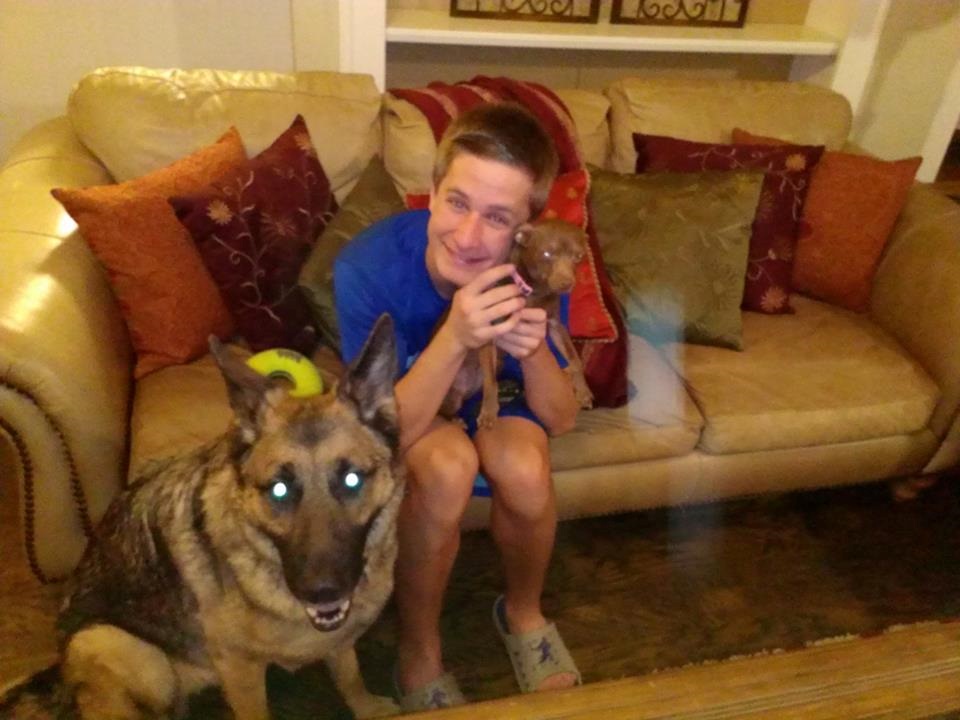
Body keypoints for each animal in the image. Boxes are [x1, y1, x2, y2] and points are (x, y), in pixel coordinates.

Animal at [0, 314, 403, 720]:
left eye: (352, 480)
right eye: (279, 490)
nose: (322, 591)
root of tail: (60, 672)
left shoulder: (339, 639)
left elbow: (349, 675)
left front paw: (369, 708)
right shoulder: (239, 669)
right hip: (118, 647)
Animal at [440, 218, 594, 430]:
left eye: (578, 257)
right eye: (547, 254)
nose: (566, 284)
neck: (535, 292)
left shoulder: (555, 325)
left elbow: (575, 359)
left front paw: (583, 391)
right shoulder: (488, 333)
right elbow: (490, 382)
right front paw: (489, 412)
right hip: (453, 396)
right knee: (443, 411)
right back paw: (456, 419)